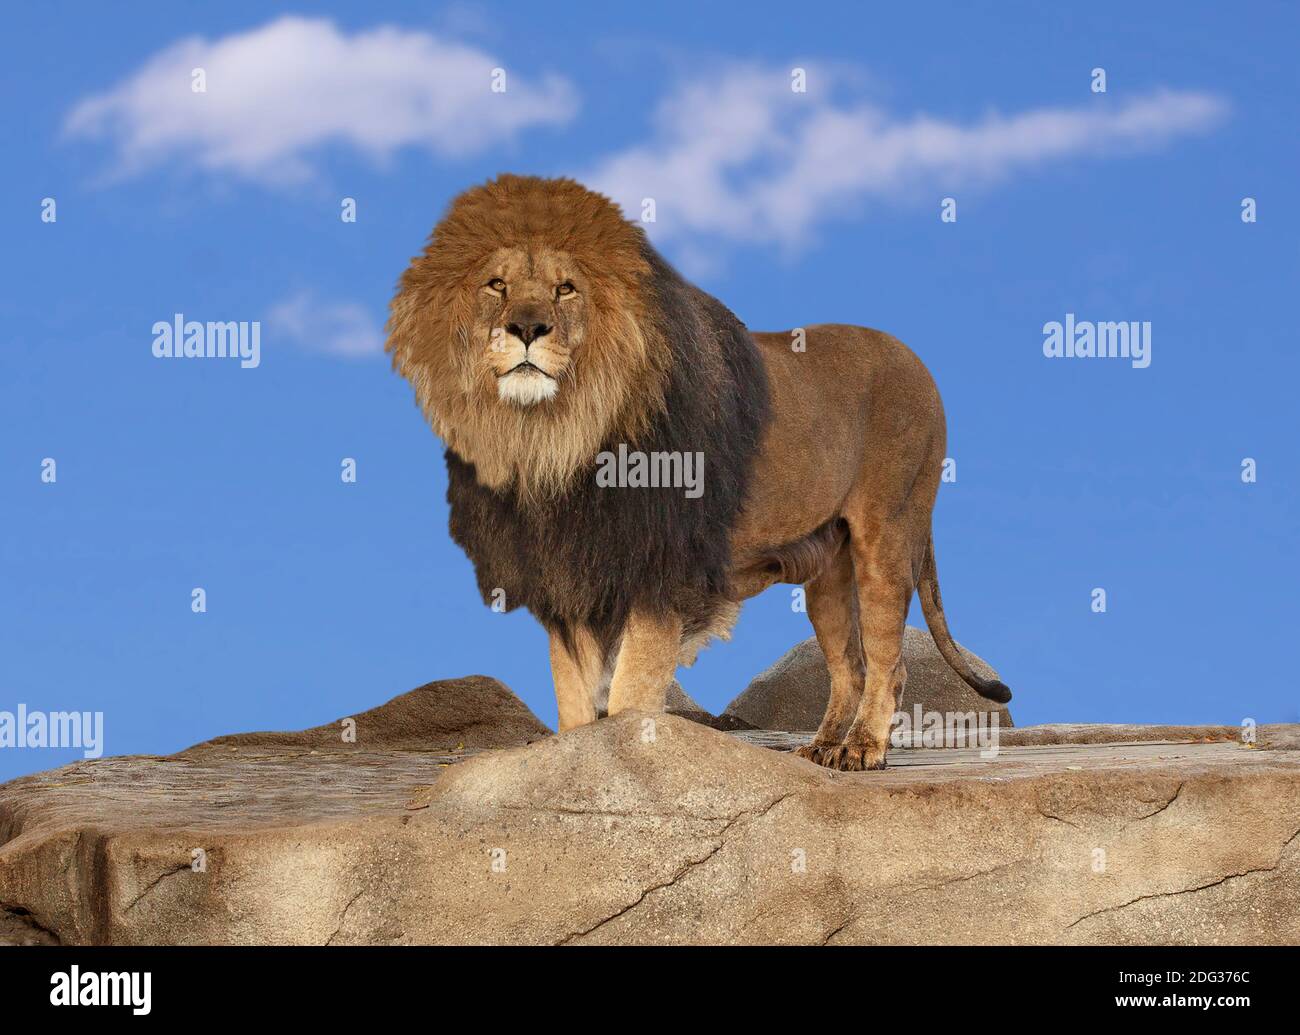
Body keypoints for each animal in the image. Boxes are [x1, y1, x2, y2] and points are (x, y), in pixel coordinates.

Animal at [386, 174, 1010, 771]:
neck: (554, 438)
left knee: (888, 660)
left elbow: (629, 696)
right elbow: (575, 703)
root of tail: (915, 357)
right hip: (827, 567)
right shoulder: (573, 577)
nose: (526, 328)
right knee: (850, 664)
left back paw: (862, 749)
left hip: (888, 532)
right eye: (497, 285)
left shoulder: (660, 576)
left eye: (566, 288)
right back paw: (824, 748)